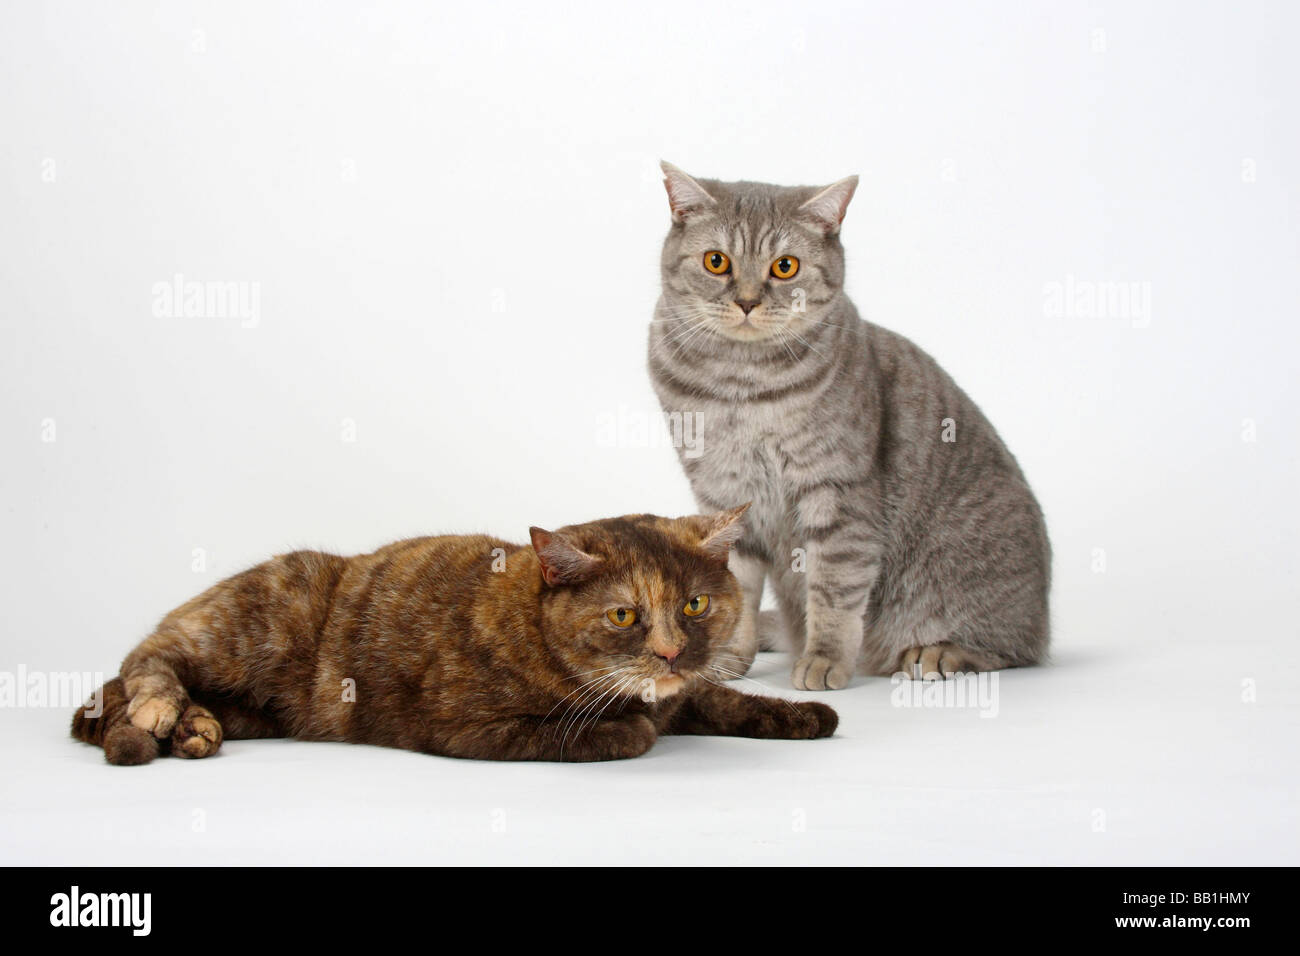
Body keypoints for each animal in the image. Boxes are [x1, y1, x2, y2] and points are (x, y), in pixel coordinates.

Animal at [73, 504, 842, 764]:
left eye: (694, 605)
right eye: (624, 616)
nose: (672, 652)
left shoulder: (686, 693)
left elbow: (724, 699)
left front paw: (805, 715)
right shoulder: (466, 724)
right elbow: (588, 732)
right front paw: (625, 729)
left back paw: (194, 728)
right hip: (259, 617)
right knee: (146, 656)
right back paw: (161, 711)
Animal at [644, 162, 1050, 686]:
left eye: (785, 267)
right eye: (716, 262)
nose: (748, 301)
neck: (742, 384)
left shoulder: (837, 493)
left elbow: (834, 592)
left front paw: (825, 658)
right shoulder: (724, 493)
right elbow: (733, 586)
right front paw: (724, 656)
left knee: (1010, 650)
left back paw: (937, 652)